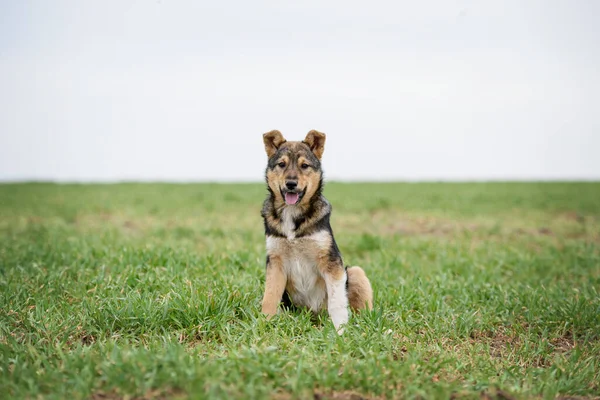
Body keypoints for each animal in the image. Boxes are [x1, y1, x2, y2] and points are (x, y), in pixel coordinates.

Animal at [260, 130, 372, 332]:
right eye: (281, 164)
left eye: (304, 166)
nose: (291, 183)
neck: (293, 213)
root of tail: (314, 317)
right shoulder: (275, 261)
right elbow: (269, 297)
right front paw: (264, 325)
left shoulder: (330, 261)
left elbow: (337, 302)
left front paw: (340, 330)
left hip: (355, 272)